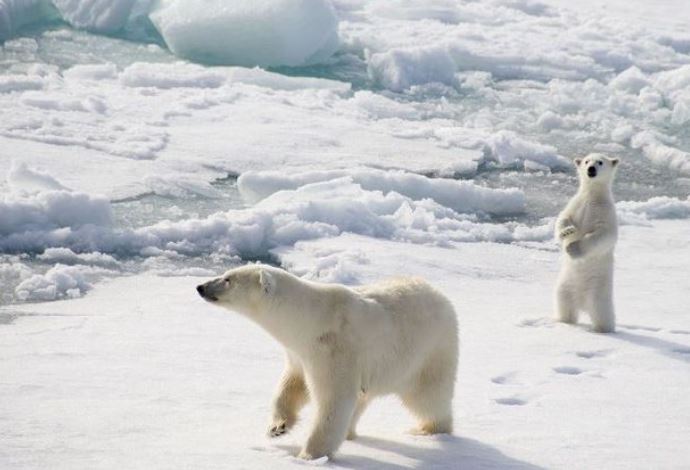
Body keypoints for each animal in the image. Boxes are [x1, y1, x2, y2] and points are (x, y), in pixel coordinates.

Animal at [195, 266, 456, 460]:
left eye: (228, 279)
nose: (200, 287)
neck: (310, 320)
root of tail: (440, 295)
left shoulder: (334, 350)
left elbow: (334, 399)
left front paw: (308, 455)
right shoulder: (300, 352)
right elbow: (292, 385)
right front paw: (277, 428)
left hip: (429, 351)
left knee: (427, 396)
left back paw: (428, 429)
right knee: (362, 398)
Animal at [552, 152, 620, 332]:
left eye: (600, 162)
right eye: (586, 161)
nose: (591, 169)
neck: (592, 195)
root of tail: (582, 303)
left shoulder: (605, 212)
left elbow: (603, 235)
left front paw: (573, 249)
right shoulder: (576, 204)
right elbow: (563, 218)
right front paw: (567, 232)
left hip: (599, 290)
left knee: (602, 312)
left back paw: (603, 330)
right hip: (565, 286)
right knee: (564, 304)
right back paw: (564, 321)